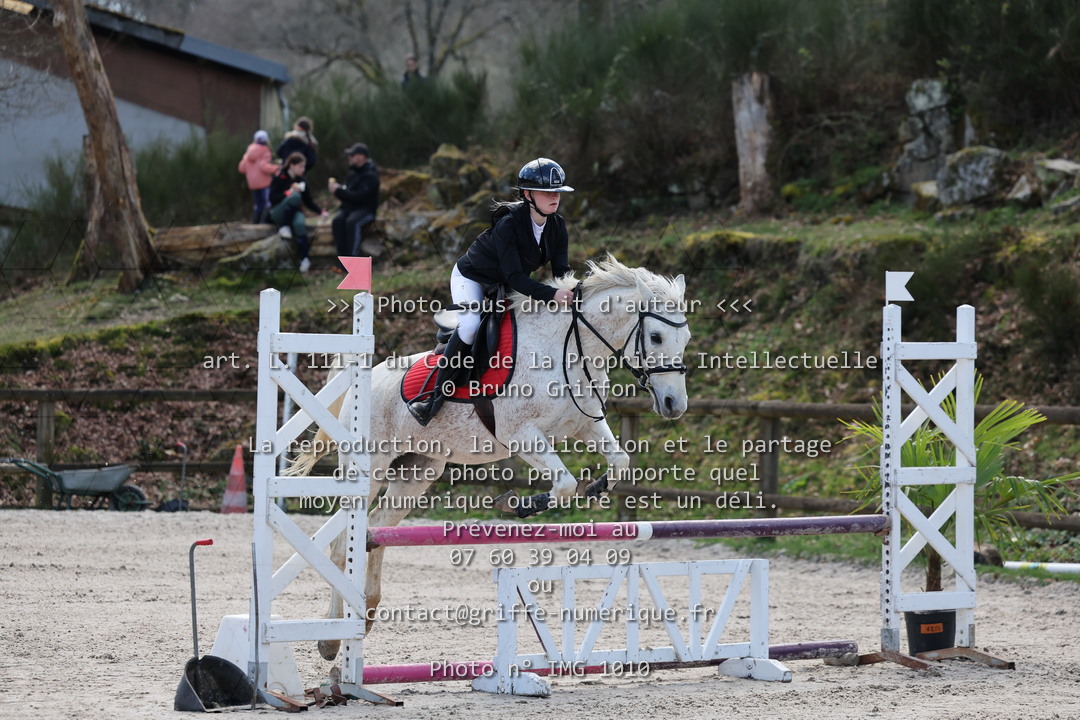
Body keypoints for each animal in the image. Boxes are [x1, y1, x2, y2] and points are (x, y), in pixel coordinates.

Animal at [289, 255, 692, 661]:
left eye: (686, 339)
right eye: (656, 337)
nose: (674, 405)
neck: (570, 349)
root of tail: (362, 380)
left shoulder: (585, 425)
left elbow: (619, 461)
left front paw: (596, 488)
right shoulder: (522, 435)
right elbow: (563, 483)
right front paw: (518, 505)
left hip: (417, 472)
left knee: (376, 530)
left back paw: (366, 611)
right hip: (369, 468)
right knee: (343, 543)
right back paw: (331, 640)